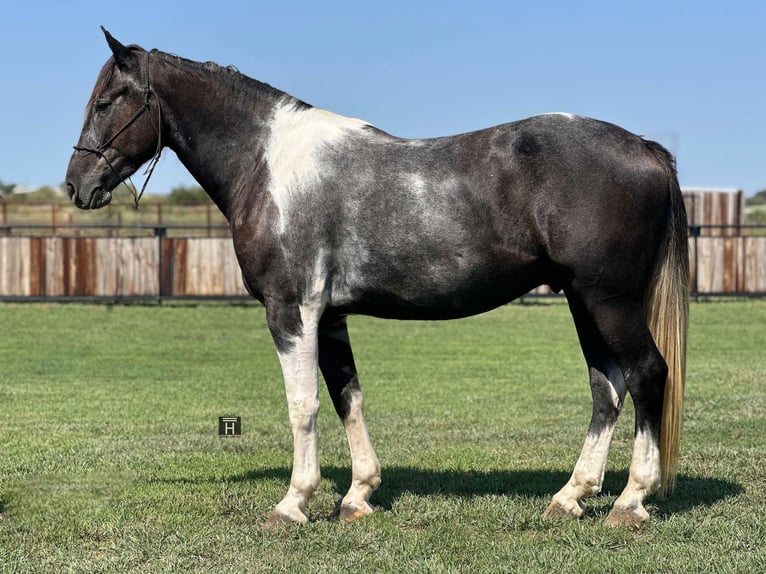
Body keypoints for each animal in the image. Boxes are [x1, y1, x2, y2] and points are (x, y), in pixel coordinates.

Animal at [66, 28, 689, 529]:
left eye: (106, 102)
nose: (77, 185)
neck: (269, 164)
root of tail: (646, 149)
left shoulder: (291, 310)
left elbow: (303, 405)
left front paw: (292, 504)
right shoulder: (330, 317)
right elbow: (349, 397)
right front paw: (357, 496)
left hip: (609, 301)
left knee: (646, 375)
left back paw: (629, 503)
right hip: (585, 301)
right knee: (607, 389)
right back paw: (569, 497)